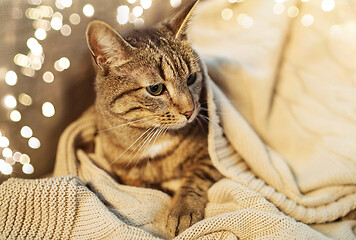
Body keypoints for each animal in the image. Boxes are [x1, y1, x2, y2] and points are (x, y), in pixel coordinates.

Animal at [85, 0, 221, 236]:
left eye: (191, 78)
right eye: (155, 89)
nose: (190, 111)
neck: (154, 138)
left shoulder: (210, 154)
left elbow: (195, 178)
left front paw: (183, 209)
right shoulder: (119, 171)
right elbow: (142, 185)